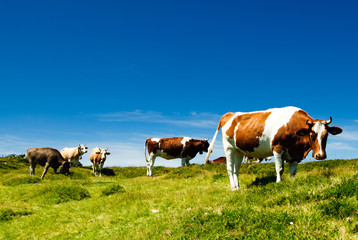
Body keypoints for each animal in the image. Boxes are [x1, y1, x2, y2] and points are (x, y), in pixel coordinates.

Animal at [204, 106, 342, 190]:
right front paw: (278, 183)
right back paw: (233, 187)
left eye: (326, 135)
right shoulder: (277, 148)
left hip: (239, 150)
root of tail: (229, 114)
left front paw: (292, 183)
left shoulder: (294, 153)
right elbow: (280, 169)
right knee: (229, 167)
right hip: (228, 147)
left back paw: (238, 186)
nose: (320, 155)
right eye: (312, 135)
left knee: (235, 169)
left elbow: (293, 171)